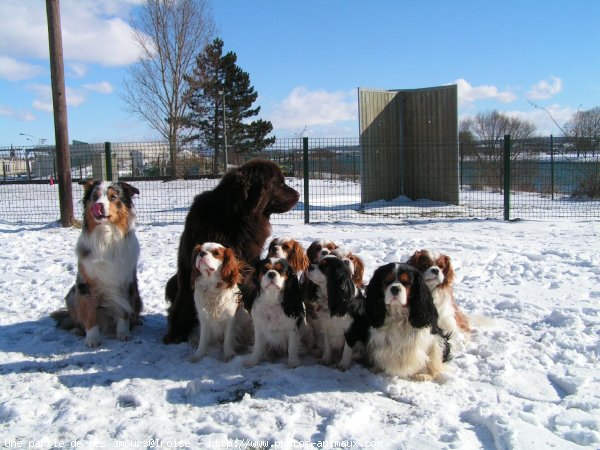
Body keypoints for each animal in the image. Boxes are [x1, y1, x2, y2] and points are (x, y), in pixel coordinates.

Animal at [164, 159, 300, 344]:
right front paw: (176, 333)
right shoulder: (187, 270)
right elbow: (184, 301)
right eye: (280, 183)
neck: (238, 217)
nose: (299, 194)